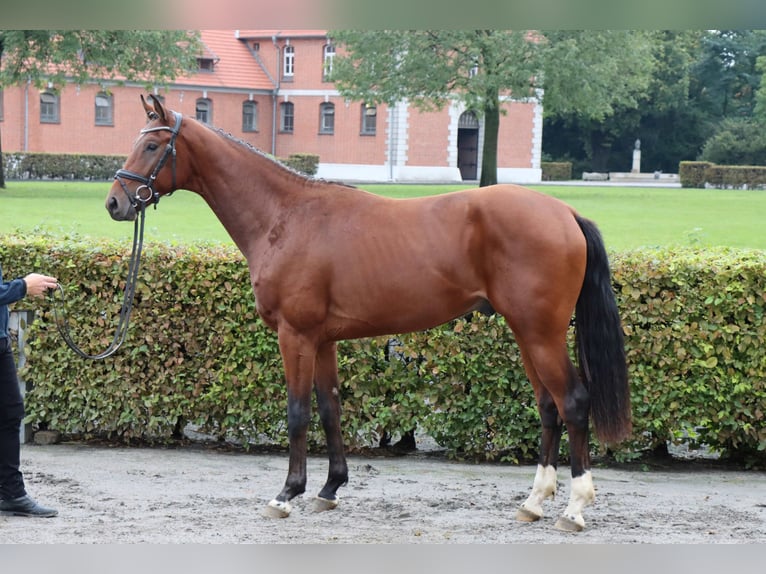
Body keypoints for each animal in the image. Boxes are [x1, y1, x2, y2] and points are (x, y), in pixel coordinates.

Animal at [109, 94, 636, 532]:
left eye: (153, 145)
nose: (116, 201)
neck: (285, 216)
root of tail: (565, 214)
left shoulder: (295, 335)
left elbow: (298, 412)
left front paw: (287, 494)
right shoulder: (322, 340)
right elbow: (330, 408)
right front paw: (328, 489)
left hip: (540, 332)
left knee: (573, 402)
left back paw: (574, 508)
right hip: (527, 333)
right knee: (548, 407)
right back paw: (533, 502)